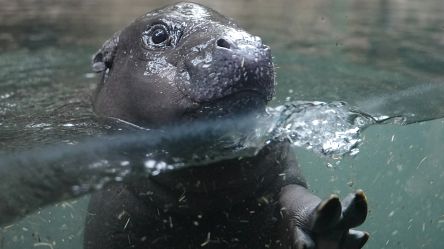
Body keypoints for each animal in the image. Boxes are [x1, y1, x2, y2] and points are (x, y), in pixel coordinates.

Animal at [85, 2, 370, 249]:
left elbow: (294, 196)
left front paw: (334, 225)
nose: (245, 43)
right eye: (158, 35)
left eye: (237, 24)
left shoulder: (284, 172)